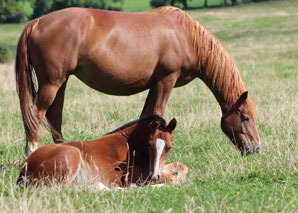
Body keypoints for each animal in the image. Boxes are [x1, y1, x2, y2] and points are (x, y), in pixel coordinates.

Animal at [14, 5, 260, 156]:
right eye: (245, 118)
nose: (256, 149)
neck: (186, 36)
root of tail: (37, 22)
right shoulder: (166, 80)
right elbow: (157, 113)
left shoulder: (156, 84)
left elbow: (147, 115)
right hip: (51, 84)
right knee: (35, 115)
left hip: (61, 82)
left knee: (54, 116)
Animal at [16, 115, 189, 188]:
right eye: (149, 145)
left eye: (169, 147)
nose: (154, 177)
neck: (130, 145)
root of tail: (25, 167)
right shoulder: (136, 177)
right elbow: (171, 179)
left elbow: (180, 166)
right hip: (72, 156)